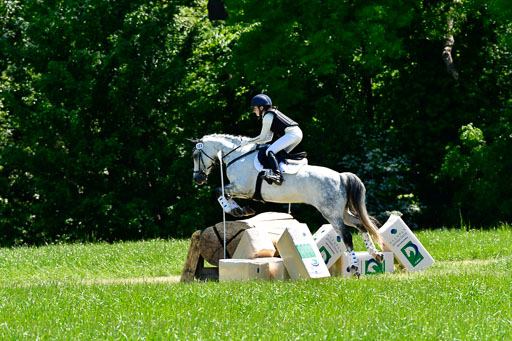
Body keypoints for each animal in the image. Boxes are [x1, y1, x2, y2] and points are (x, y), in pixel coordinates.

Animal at [189, 133, 384, 274]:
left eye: (195, 155)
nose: (198, 179)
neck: (237, 155)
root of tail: (341, 177)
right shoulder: (240, 189)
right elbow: (222, 193)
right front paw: (241, 209)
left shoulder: (242, 188)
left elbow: (219, 192)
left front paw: (236, 210)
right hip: (341, 212)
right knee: (361, 225)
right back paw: (376, 254)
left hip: (331, 213)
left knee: (346, 235)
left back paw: (355, 268)